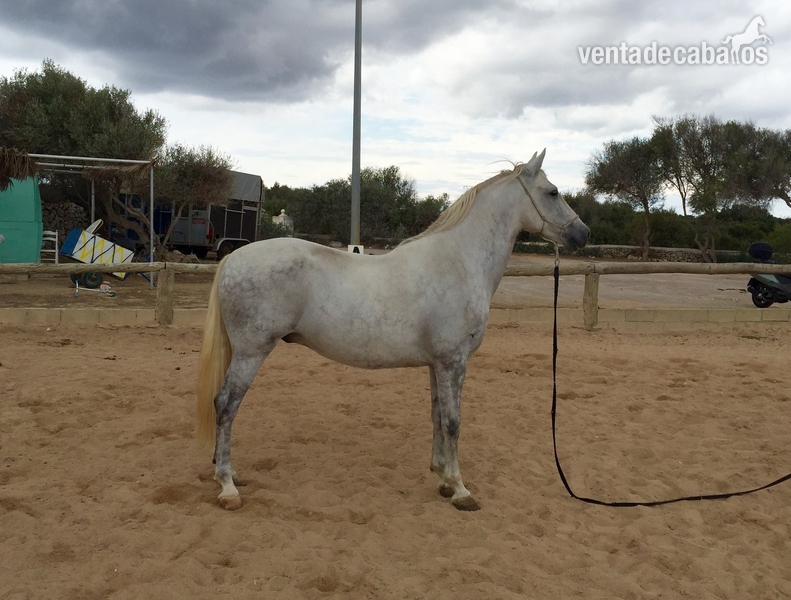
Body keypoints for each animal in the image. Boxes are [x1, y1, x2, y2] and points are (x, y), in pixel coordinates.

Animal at [196, 149, 590, 511]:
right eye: (553, 192)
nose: (582, 234)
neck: (459, 261)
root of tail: (233, 258)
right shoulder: (454, 361)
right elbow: (453, 421)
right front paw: (460, 489)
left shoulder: (437, 364)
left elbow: (437, 416)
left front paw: (442, 477)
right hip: (251, 353)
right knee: (225, 405)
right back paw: (227, 486)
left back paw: (228, 473)